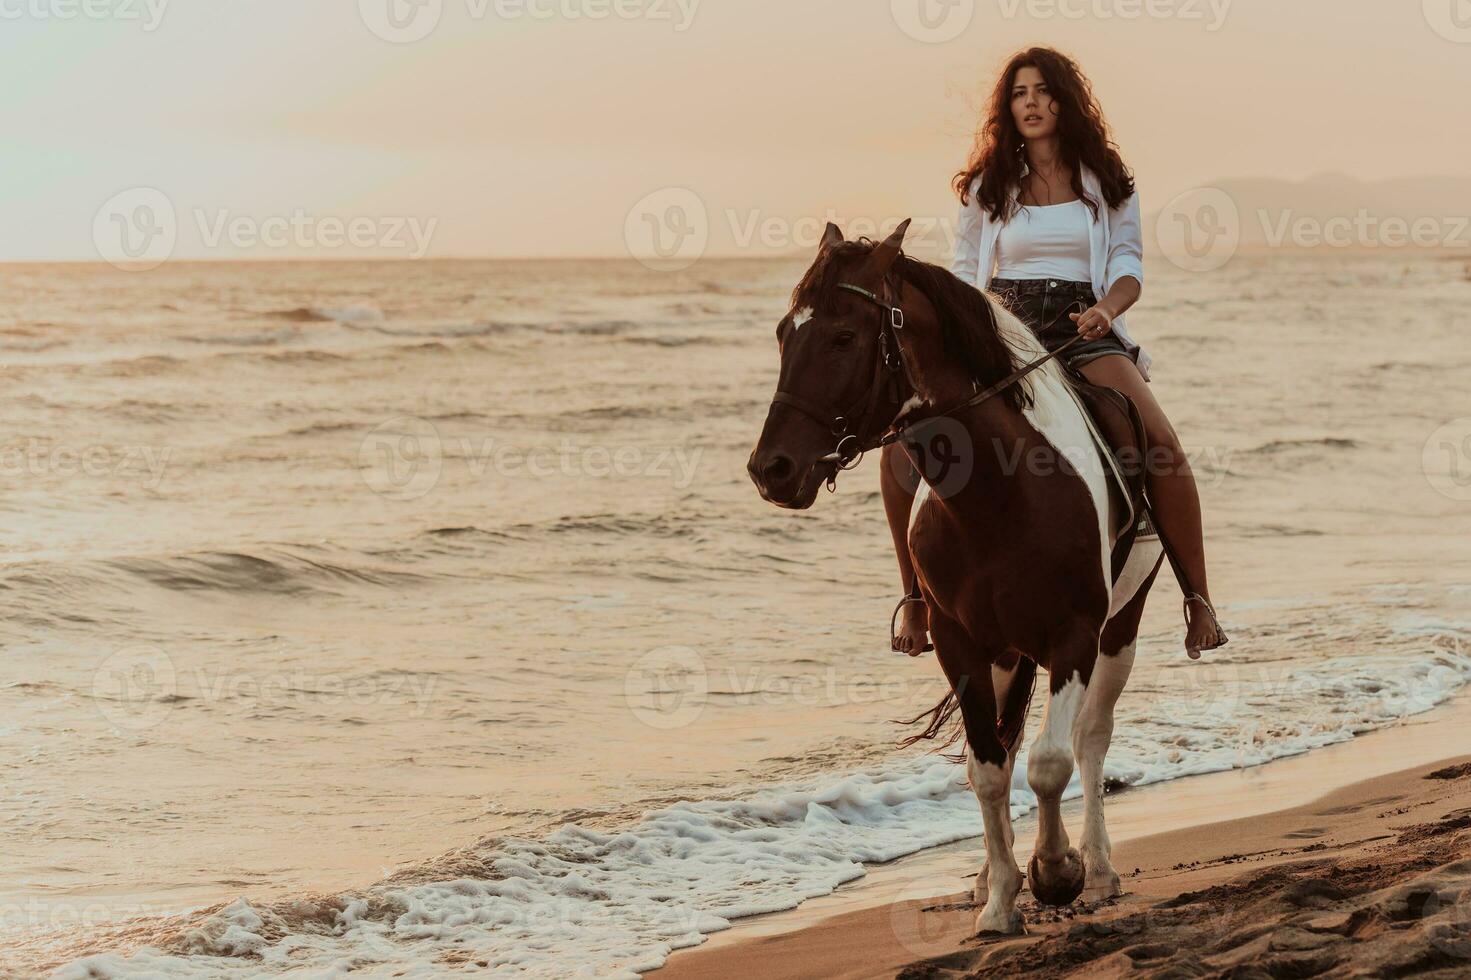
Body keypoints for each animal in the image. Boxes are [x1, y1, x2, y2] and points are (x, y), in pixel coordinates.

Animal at [747, 217, 1159, 929]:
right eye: (781, 333)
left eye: (843, 336)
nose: (771, 469)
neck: (1001, 495)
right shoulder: (960, 644)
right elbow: (988, 768)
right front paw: (999, 900)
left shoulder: (1075, 635)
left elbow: (1051, 761)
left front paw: (1057, 871)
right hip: (1006, 654)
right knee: (1008, 741)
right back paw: (989, 875)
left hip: (1119, 629)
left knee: (1090, 740)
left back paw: (1099, 870)